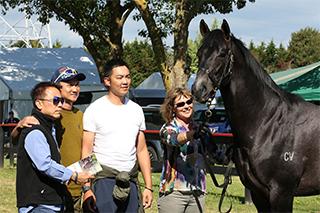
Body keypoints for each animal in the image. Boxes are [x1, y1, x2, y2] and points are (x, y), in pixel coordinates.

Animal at [192, 19, 320, 211]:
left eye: (222, 53)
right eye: (199, 52)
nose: (199, 89)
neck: (268, 123)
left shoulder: (282, 193)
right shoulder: (258, 194)